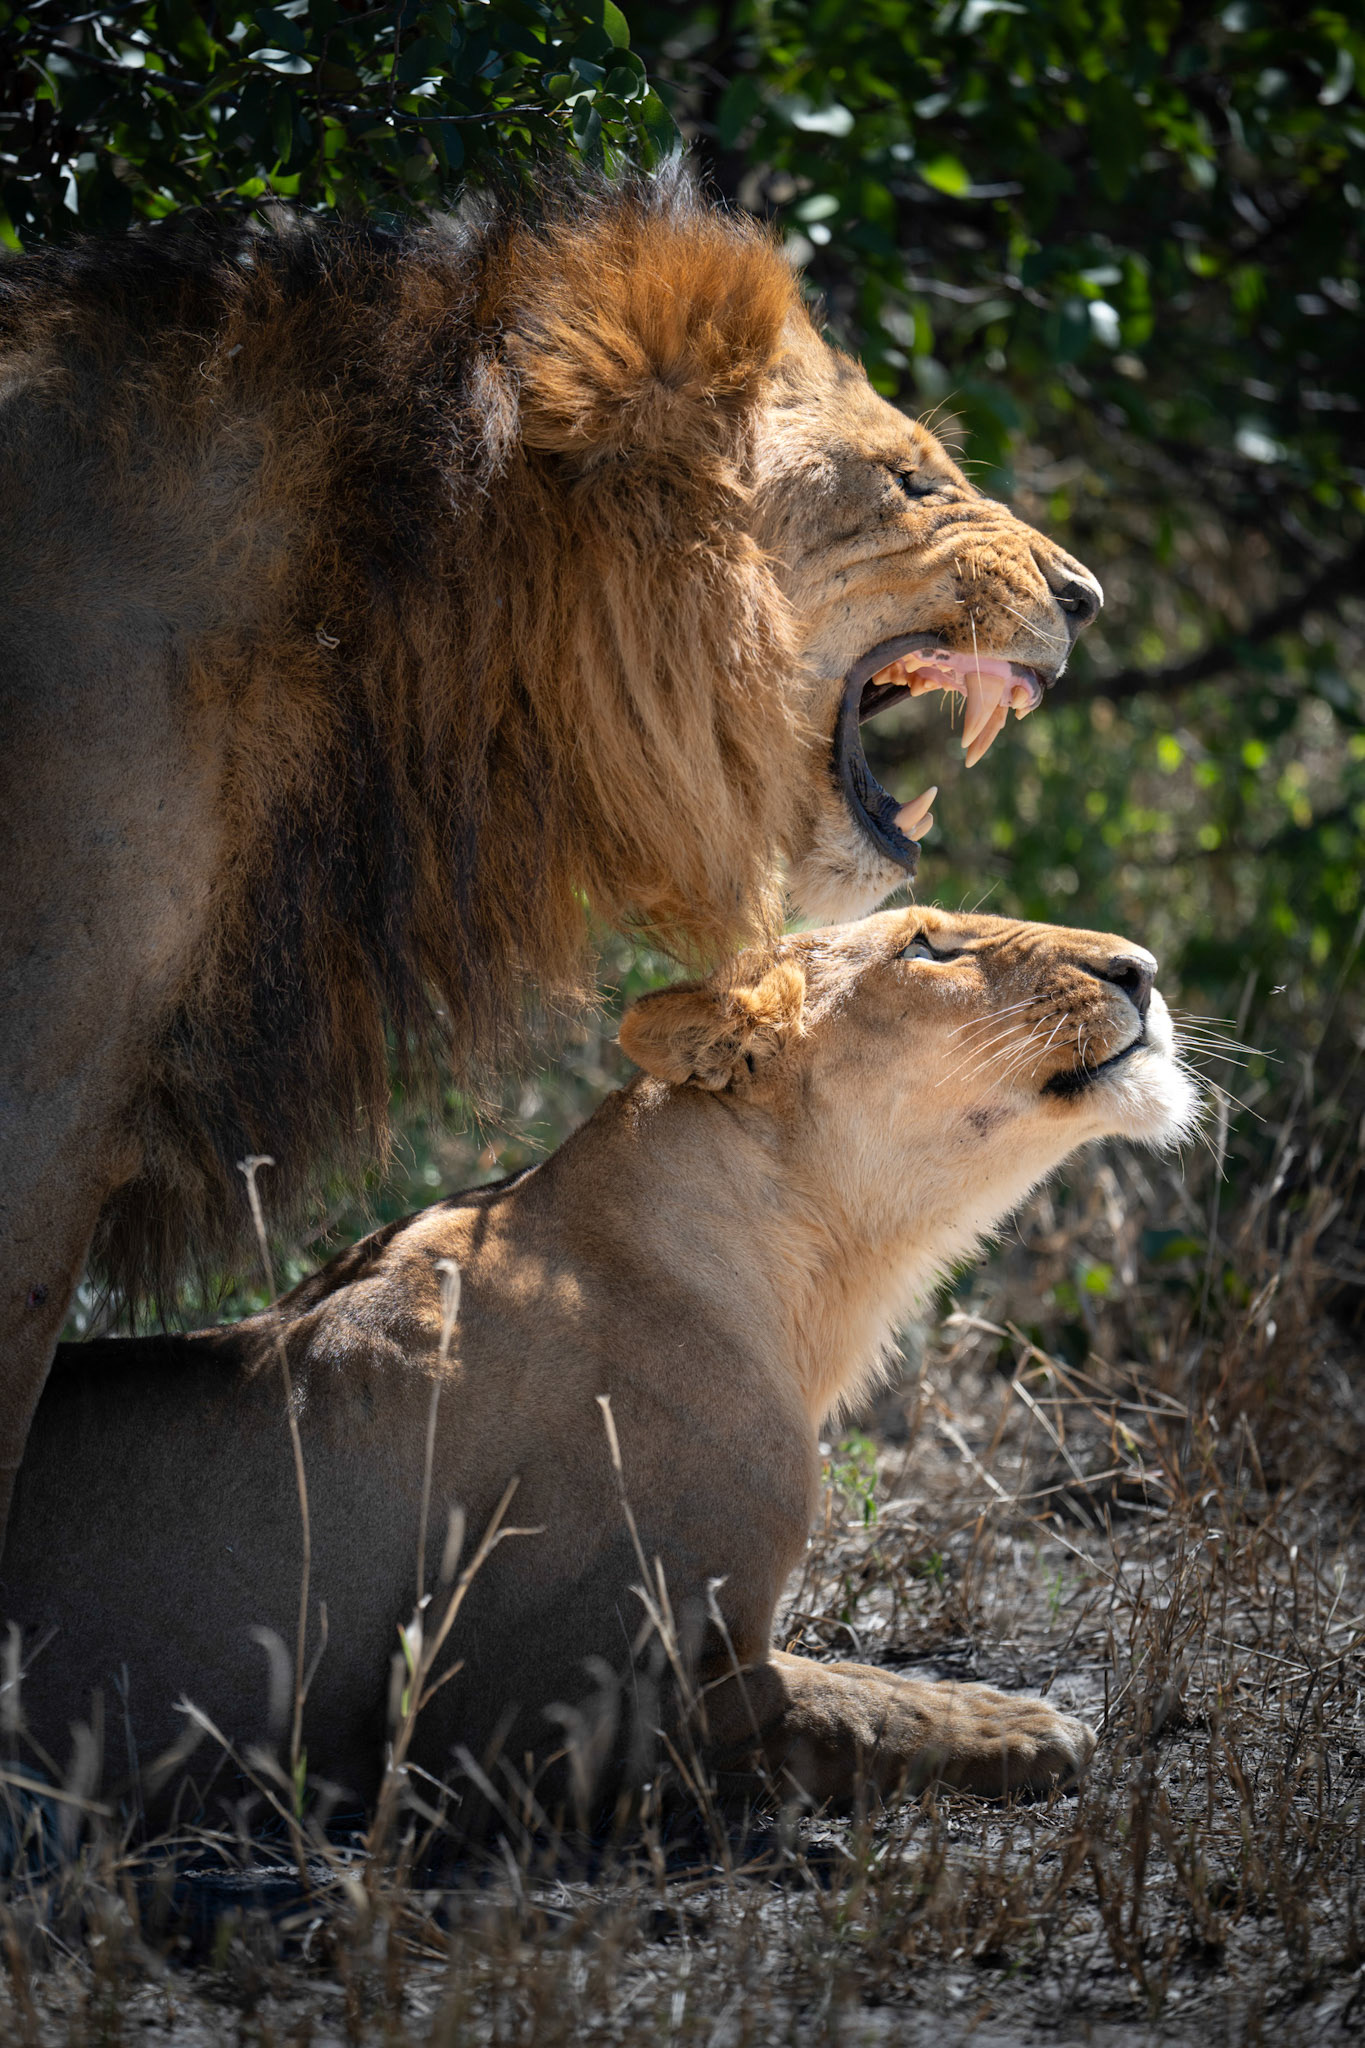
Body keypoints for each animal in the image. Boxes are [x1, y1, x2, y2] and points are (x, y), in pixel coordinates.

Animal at [0, 908, 1195, 1832]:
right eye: (925, 945)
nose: (1142, 966)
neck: (798, 1282)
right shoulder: (500, 1723)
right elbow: (831, 1697)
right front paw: (1011, 1720)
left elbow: (827, 1679)